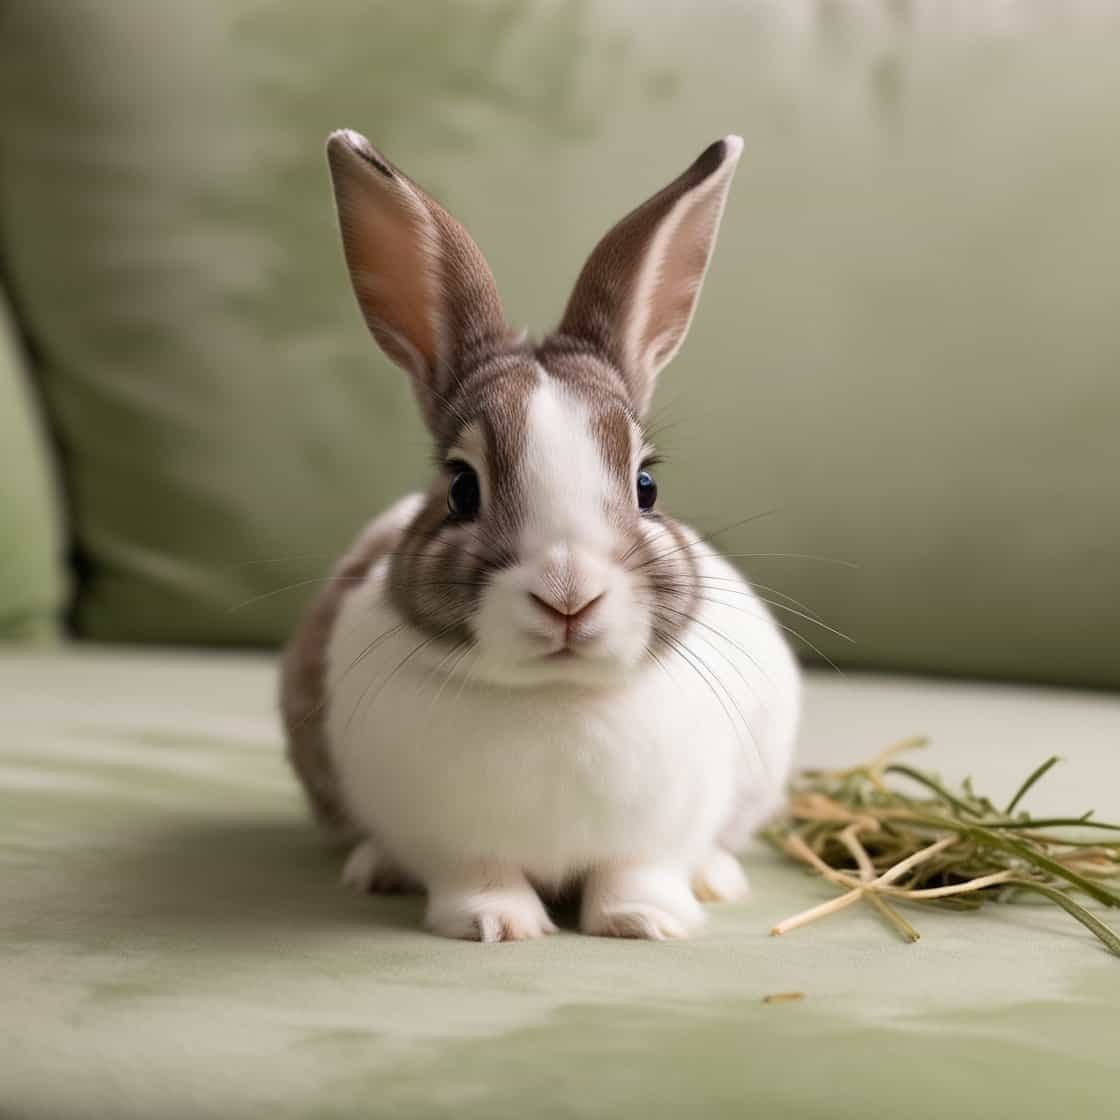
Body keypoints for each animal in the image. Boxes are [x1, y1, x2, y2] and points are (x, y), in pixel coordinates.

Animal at [281, 128, 801, 942]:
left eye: (647, 486)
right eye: (462, 489)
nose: (568, 596)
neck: (558, 696)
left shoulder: (657, 835)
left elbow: (637, 872)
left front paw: (645, 922)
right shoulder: (454, 845)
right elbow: (479, 877)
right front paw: (497, 925)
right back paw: (376, 870)